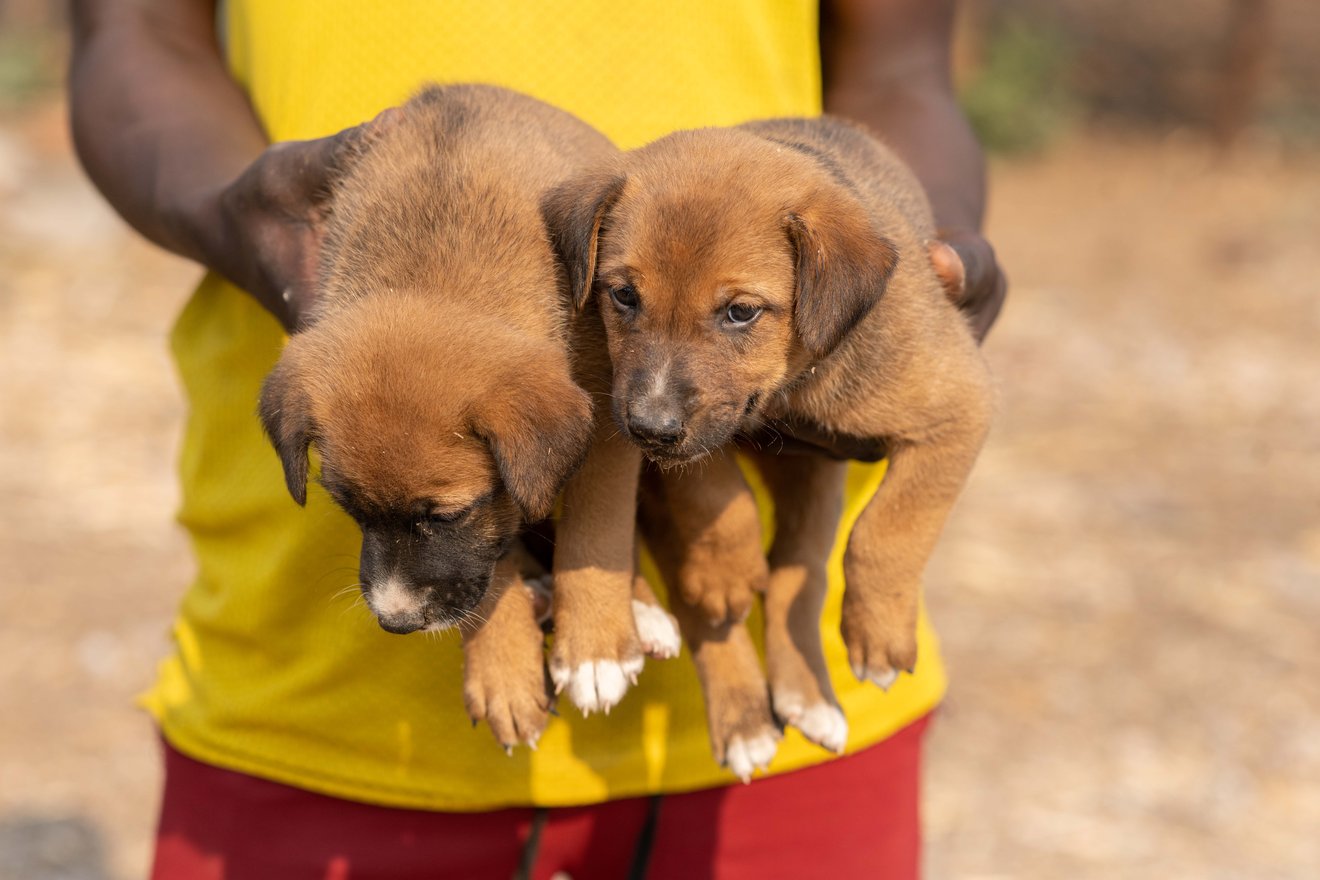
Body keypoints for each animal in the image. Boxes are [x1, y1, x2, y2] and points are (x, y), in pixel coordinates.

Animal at [258, 84, 681, 749]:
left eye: (446, 515)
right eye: (349, 511)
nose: (395, 623)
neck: (433, 270)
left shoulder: (611, 414)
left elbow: (599, 522)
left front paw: (594, 648)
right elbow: (492, 557)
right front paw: (502, 668)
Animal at [543, 115, 992, 775]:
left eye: (740, 312)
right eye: (623, 295)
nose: (648, 428)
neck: (787, 393)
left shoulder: (960, 406)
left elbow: (889, 528)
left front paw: (880, 632)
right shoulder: (689, 435)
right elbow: (714, 490)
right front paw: (726, 567)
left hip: (817, 483)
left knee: (795, 573)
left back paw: (805, 695)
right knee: (702, 600)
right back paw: (739, 707)